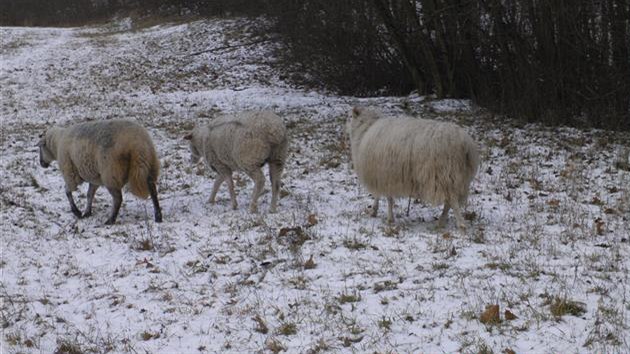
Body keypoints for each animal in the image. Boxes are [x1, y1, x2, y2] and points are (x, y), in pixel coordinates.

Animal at [348, 106, 482, 231]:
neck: (366, 128)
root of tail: (465, 144)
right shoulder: (383, 175)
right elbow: (380, 196)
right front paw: (375, 211)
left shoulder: (384, 175)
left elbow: (387, 198)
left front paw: (389, 218)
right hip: (458, 177)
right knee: (449, 201)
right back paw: (441, 222)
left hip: (445, 174)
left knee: (452, 200)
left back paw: (460, 224)